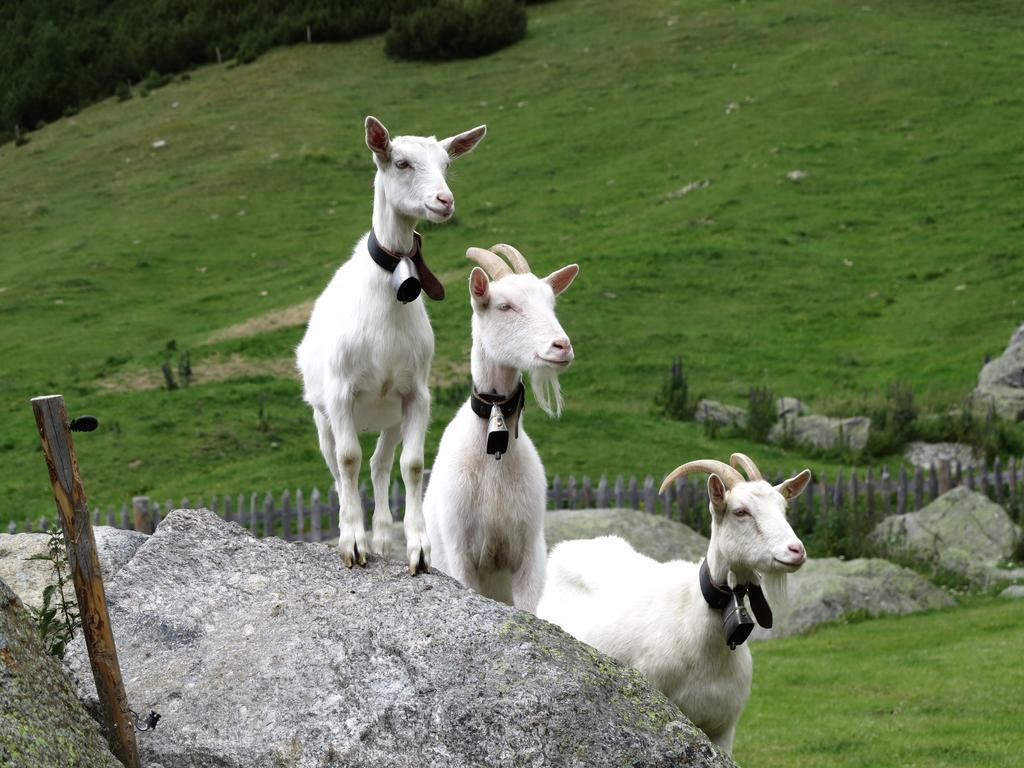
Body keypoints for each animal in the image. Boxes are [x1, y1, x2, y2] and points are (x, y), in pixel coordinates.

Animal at [296, 117, 487, 573]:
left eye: (446, 164)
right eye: (401, 162)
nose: (444, 200)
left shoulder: (414, 393)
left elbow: (412, 465)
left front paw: (418, 550)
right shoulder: (342, 392)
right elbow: (347, 460)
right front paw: (352, 543)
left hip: (389, 417)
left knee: (380, 463)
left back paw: (384, 537)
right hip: (322, 417)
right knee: (339, 467)